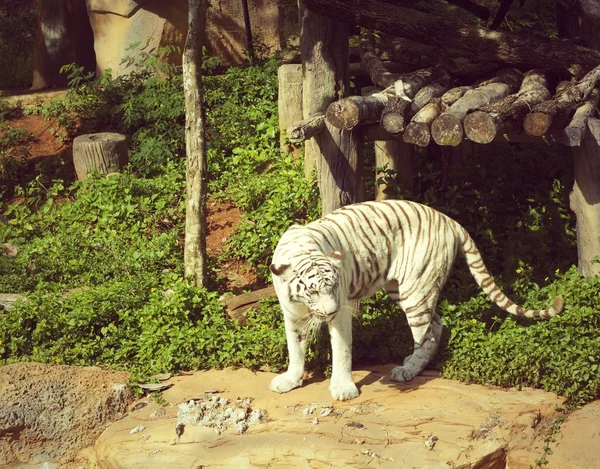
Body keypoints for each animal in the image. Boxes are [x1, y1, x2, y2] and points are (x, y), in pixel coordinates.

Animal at [270, 199, 564, 400]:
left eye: (332, 287)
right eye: (313, 291)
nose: (329, 312)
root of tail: (449, 220)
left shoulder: (342, 313)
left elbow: (341, 350)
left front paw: (343, 388)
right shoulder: (292, 314)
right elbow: (295, 349)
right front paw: (290, 380)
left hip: (415, 289)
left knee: (428, 335)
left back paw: (407, 370)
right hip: (404, 290)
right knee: (437, 323)